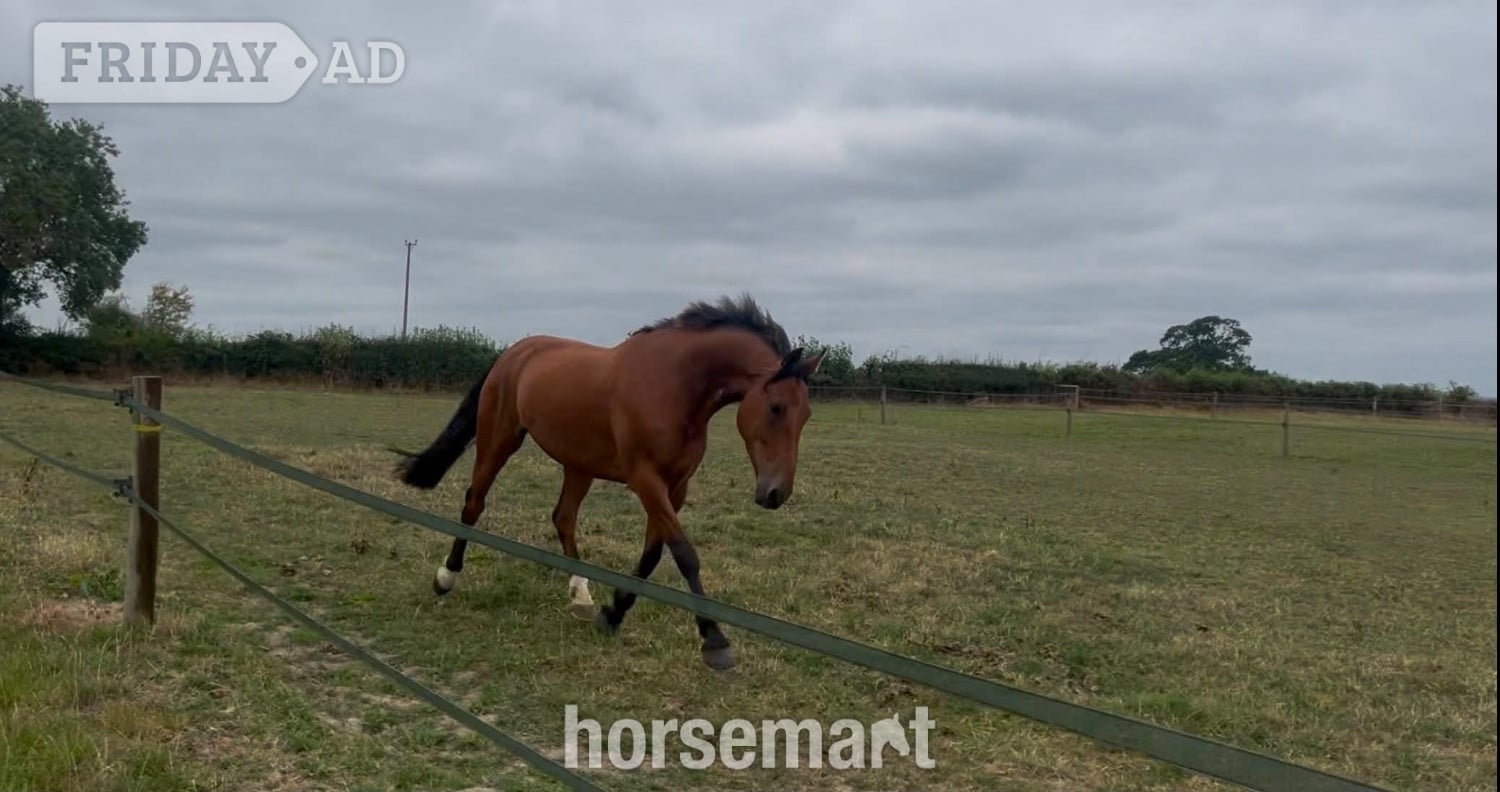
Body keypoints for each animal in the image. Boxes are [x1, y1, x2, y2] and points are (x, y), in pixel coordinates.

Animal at [391, 293, 822, 671]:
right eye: (776, 407)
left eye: (806, 415)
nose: (775, 493)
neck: (674, 384)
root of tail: (513, 352)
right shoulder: (645, 479)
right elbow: (685, 554)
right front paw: (714, 642)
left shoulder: (675, 487)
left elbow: (652, 556)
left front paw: (612, 613)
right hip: (499, 440)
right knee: (474, 503)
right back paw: (446, 577)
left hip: (578, 465)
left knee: (563, 518)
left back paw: (581, 595)